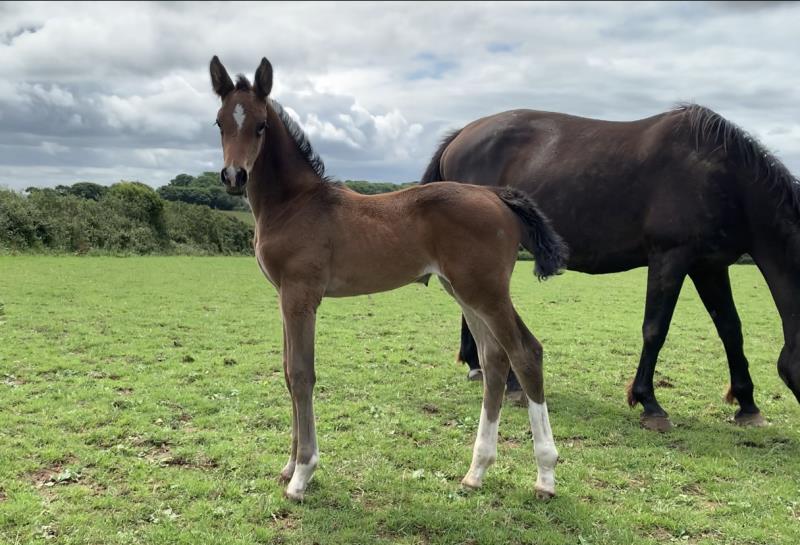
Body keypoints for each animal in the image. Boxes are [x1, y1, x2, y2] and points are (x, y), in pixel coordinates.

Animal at [206, 56, 568, 502]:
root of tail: (495, 194)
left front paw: (302, 474)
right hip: (463, 290)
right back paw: (476, 471)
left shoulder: (301, 295)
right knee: (494, 359)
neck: (295, 204)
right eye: (220, 122)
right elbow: (289, 373)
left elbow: (302, 374)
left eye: (259, 125)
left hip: (486, 290)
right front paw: (288, 466)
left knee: (525, 353)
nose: (234, 176)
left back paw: (545, 475)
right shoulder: (283, 297)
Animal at [422, 105, 796, 430]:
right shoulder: (671, 258)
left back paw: (479, 367)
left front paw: (748, 406)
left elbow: (730, 329)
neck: (723, 178)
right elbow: (655, 329)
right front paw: (649, 403)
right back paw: (510, 382)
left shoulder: (709, 267)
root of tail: (460, 136)